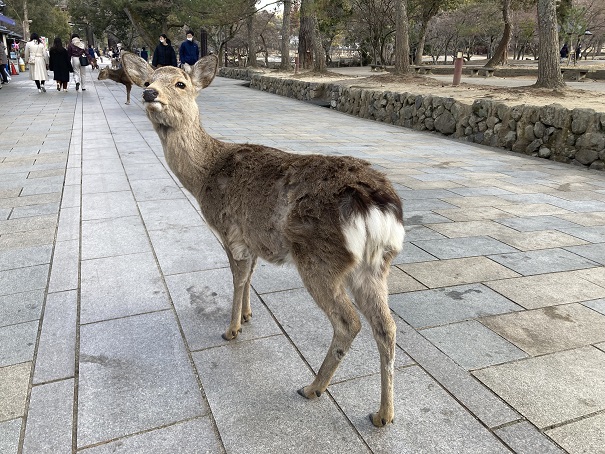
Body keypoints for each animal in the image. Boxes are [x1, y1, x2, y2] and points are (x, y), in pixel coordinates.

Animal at [121, 52, 405, 427]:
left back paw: (312, 388)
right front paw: (247, 316)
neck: (204, 175)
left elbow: (237, 278)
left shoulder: (230, 231)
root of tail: (379, 205)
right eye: (147, 79)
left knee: (350, 322)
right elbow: (250, 277)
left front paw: (231, 329)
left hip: (318, 257)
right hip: (375, 265)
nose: (149, 93)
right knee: (386, 326)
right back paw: (383, 414)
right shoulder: (253, 238)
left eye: (180, 83)